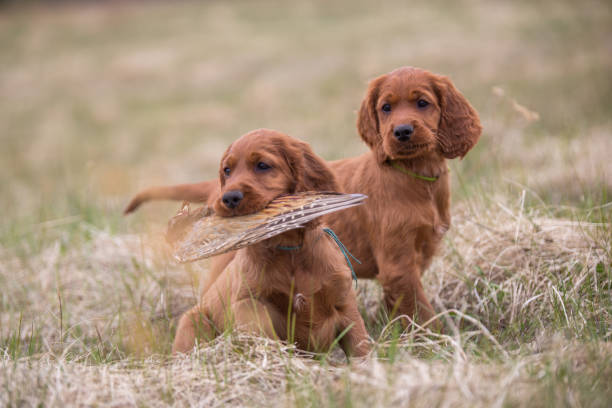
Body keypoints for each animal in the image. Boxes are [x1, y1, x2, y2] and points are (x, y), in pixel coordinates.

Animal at [173, 130, 372, 356]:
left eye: (262, 165)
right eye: (227, 170)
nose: (229, 198)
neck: (290, 250)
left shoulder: (344, 303)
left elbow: (359, 346)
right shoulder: (248, 302)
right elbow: (263, 331)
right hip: (192, 321)